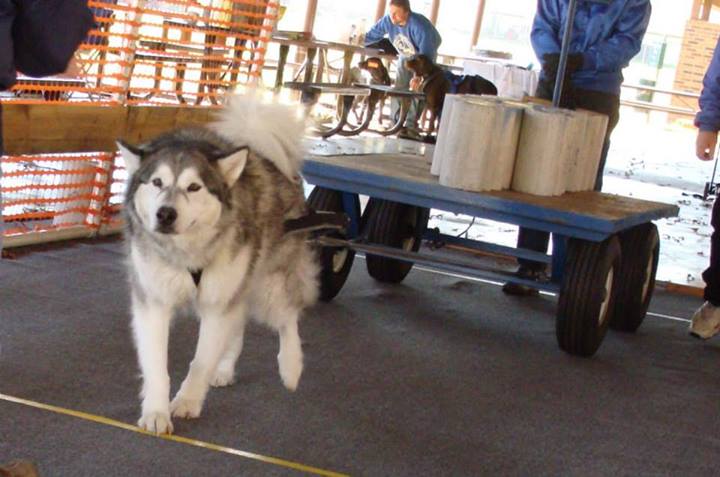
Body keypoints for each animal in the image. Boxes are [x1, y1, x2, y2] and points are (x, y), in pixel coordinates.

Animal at [118, 95, 318, 434]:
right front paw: (157, 411)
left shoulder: (216, 303)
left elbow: (200, 360)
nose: (165, 214)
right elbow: (157, 364)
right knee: (238, 324)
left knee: (287, 317)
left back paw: (291, 367)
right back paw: (224, 368)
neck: (186, 252)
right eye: (156, 182)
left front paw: (187, 401)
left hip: (269, 283)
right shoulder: (154, 303)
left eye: (194, 187)